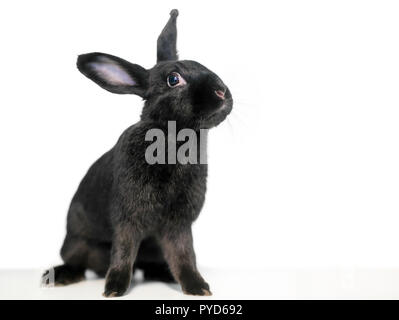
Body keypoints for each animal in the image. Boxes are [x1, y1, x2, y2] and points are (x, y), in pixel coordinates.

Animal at [43, 8, 234, 298]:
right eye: (173, 79)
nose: (222, 92)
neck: (172, 141)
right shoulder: (127, 219)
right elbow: (124, 251)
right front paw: (114, 289)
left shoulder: (178, 224)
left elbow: (184, 254)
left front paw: (198, 287)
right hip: (77, 241)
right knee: (78, 261)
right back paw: (59, 276)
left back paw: (163, 275)